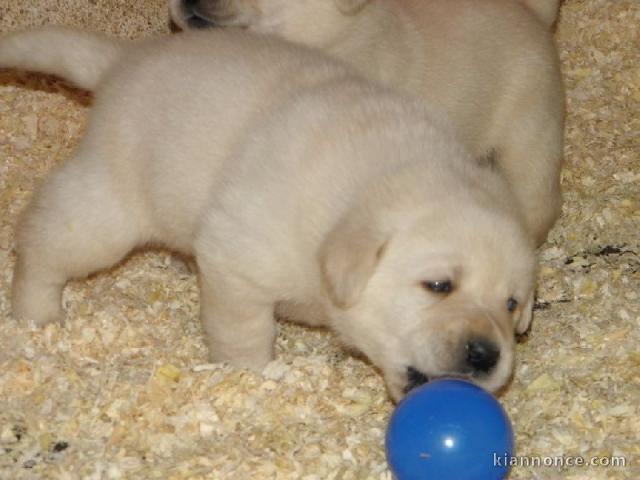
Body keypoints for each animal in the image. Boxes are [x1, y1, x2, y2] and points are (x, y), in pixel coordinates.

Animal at [1, 27, 536, 402]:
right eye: (439, 285)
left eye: (511, 304)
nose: (486, 353)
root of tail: (124, 60)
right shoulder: (237, 259)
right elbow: (244, 330)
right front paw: (252, 377)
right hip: (108, 209)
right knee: (44, 241)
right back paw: (35, 313)